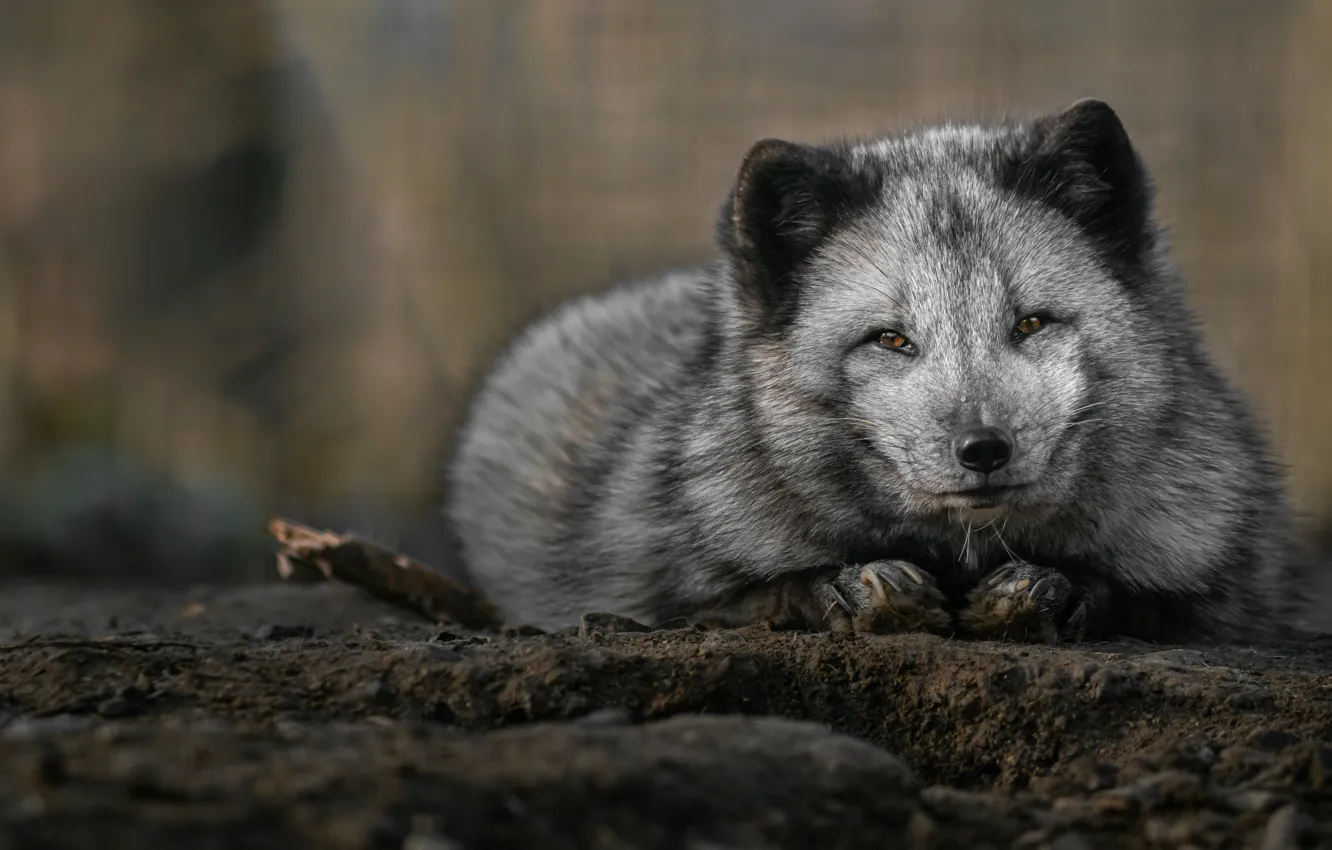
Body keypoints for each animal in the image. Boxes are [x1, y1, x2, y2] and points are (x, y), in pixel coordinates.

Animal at [446, 99, 1309, 644]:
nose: (984, 449)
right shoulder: (638, 597)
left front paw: (1052, 588)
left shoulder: (1240, 600)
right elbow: (755, 596)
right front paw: (847, 587)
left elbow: (1134, 598)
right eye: (892, 340)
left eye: (1030, 323)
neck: (961, 557)